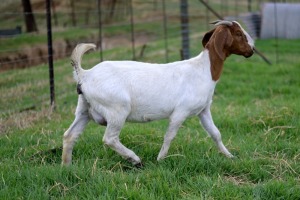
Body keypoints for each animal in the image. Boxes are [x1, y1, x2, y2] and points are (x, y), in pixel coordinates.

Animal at [62, 21, 254, 166]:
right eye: (238, 34)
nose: (252, 49)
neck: (203, 69)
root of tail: (84, 74)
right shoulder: (181, 111)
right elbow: (169, 136)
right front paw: (160, 158)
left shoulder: (203, 110)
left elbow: (215, 133)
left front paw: (229, 156)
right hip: (117, 109)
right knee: (110, 138)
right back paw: (135, 159)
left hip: (84, 109)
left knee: (70, 135)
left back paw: (67, 166)